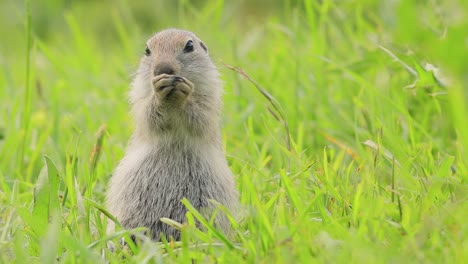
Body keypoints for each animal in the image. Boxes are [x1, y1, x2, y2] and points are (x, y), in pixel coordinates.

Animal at [106, 28, 238, 241]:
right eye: (147, 50)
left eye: (190, 46)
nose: (163, 69)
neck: (172, 102)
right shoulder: (139, 95)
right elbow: (147, 114)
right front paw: (159, 92)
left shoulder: (211, 96)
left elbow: (202, 117)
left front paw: (185, 93)